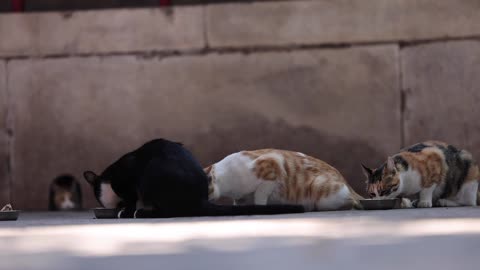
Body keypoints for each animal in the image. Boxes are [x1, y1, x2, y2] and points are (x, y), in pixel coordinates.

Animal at [80, 138, 302, 218]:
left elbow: (130, 199)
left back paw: (142, 213)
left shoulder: (126, 181)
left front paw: (126, 210)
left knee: (169, 212)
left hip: (151, 173)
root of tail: (200, 199)